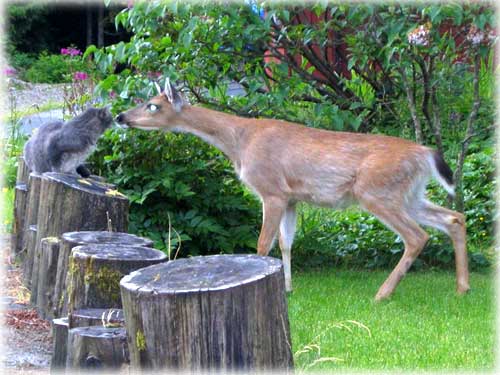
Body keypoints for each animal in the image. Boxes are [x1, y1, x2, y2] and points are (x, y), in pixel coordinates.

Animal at [116, 80, 468, 302]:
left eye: (152, 105)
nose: (120, 116)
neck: (239, 142)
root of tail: (425, 153)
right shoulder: (292, 198)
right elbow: (287, 243)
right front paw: (287, 289)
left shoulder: (271, 190)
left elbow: (262, 244)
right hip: (409, 193)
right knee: (454, 217)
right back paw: (462, 288)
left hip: (377, 191)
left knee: (417, 236)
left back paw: (382, 294)